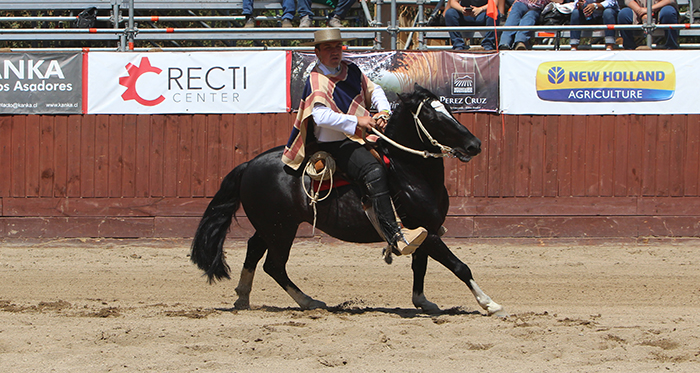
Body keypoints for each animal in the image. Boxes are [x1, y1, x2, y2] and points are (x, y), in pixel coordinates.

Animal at [191, 84, 506, 314]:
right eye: (433, 116)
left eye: (450, 109)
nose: (474, 145)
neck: (409, 170)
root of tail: (248, 165)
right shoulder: (425, 232)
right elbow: (459, 266)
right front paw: (490, 303)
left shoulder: (425, 233)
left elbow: (421, 266)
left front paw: (423, 301)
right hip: (281, 229)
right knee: (274, 265)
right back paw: (309, 301)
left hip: (271, 226)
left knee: (255, 251)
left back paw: (243, 297)